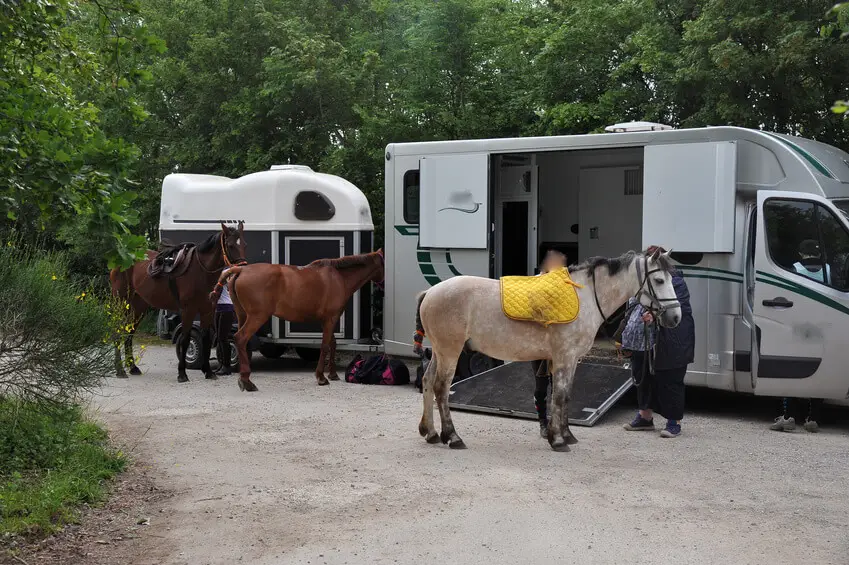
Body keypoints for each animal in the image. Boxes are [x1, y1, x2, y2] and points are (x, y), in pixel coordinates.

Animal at [109, 222, 247, 382]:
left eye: (244, 244)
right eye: (230, 245)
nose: (242, 268)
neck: (200, 271)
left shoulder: (207, 311)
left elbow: (206, 340)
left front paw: (208, 371)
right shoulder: (188, 310)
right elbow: (185, 340)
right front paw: (182, 374)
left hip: (138, 307)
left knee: (129, 333)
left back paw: (132, 367)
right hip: (121, 303)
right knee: (117, 331)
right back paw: (120, 370)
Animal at [208, 249, 384, 391]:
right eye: (384, 265)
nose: (382, 288)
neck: (338, 277)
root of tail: (241, 269)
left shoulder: (326, 320)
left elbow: (332, 344)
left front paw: (333, 374)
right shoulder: (330, 319)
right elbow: (325, 346)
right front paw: (321, 377)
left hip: (241, 315)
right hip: (257, 317)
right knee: (240, 338)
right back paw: (247, 381)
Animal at [412, 248, 682, 452]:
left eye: (671, 279)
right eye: (659, 280)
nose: (675, 317)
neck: (584, 297)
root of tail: (430, 292)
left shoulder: (572, 360)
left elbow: (565, 396)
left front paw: (566, 434)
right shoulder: (564, 357)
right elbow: (559, 396)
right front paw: (559, 440)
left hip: (439, 351)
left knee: (427, 382)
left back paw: (431, 432)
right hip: (450, 351)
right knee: (441, 388)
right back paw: (452, 437)